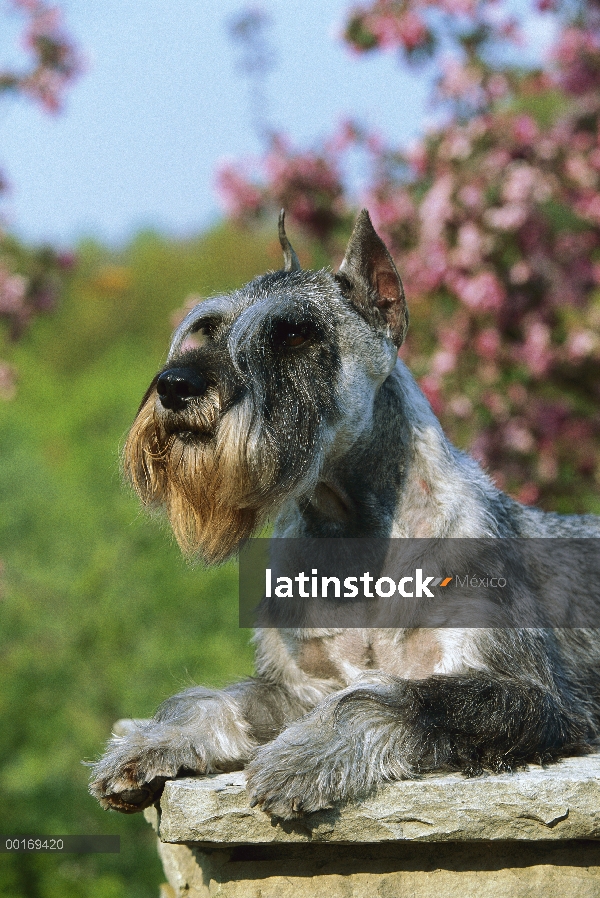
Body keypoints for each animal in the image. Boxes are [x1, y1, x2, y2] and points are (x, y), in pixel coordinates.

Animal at [88, 206, 600, 816]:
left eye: (294, 332)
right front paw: (148, 743)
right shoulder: (300, 685)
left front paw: (301, 757)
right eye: (207, 328)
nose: (174, 385)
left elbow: (385, 698)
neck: (350, 528)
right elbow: (213, 698)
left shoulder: (529, 696)